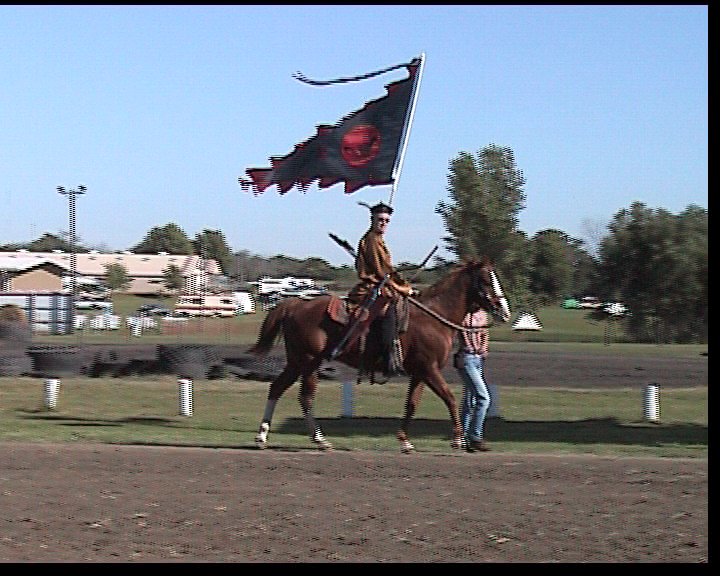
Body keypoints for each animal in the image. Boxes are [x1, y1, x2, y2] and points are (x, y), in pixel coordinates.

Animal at [249, 258, 512, 452]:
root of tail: (293, 305)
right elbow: (450, 398)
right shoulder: (430, 369)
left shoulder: (420, 373)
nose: (505, 311)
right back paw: (319, 440)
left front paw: (405, 440)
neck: (433, 318)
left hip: (298, 362)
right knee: (304, 398)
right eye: (487, 280)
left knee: (278, 388)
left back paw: (264, 437)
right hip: (308, 362)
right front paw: (458, 440)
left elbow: (411, 404)